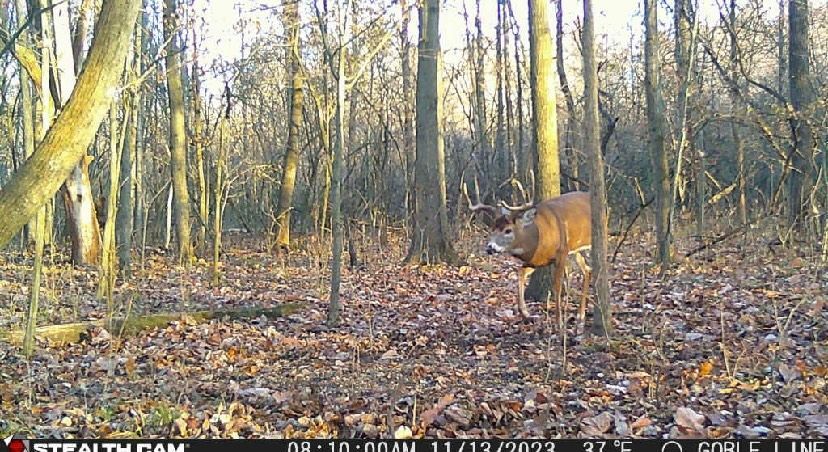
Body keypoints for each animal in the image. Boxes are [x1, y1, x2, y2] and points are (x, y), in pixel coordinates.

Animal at [464, 184, 592, 331]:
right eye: (492, 228)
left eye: (508, 230)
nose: (490, 247)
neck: (538, 236)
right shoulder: (537, 260)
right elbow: (520, 273)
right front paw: (526, 313)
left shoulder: (562, 252)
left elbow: (557, 286)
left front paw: (559, 323)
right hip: (578, 251)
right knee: (587, 271)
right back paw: (580, 317)